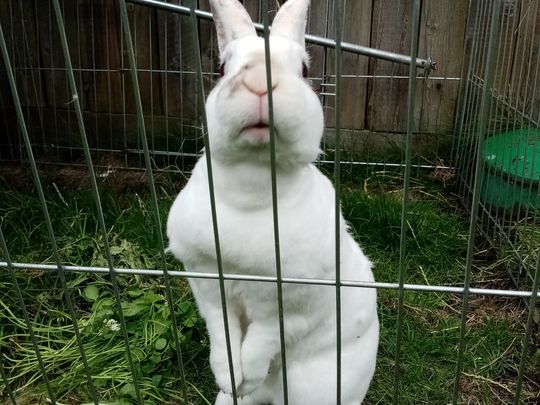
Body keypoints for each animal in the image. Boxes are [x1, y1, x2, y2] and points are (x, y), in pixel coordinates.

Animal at [167, 1, 378, 402]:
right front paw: (228, 378)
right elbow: (223, 334)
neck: (252, 192)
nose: (260, 83)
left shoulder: (292, 306)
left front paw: (247, 376)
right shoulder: (207, 284)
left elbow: (262, 341)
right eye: (221, 68)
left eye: (305, 70)